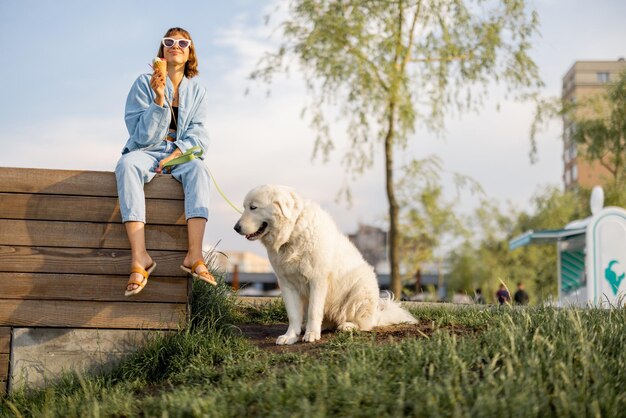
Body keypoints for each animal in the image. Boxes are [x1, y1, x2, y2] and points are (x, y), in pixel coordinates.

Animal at [233, 185, 414, 344]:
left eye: (253, 207)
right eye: (245, 207)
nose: (236, 228)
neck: (293, 232)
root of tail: (377, 313)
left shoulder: (317, 280)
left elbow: (314, 311)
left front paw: (312, 335)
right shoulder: (287, 284)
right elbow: (293, 314)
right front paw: (290, 336)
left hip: (360, 290)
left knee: (365, 324)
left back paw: (347, 326)